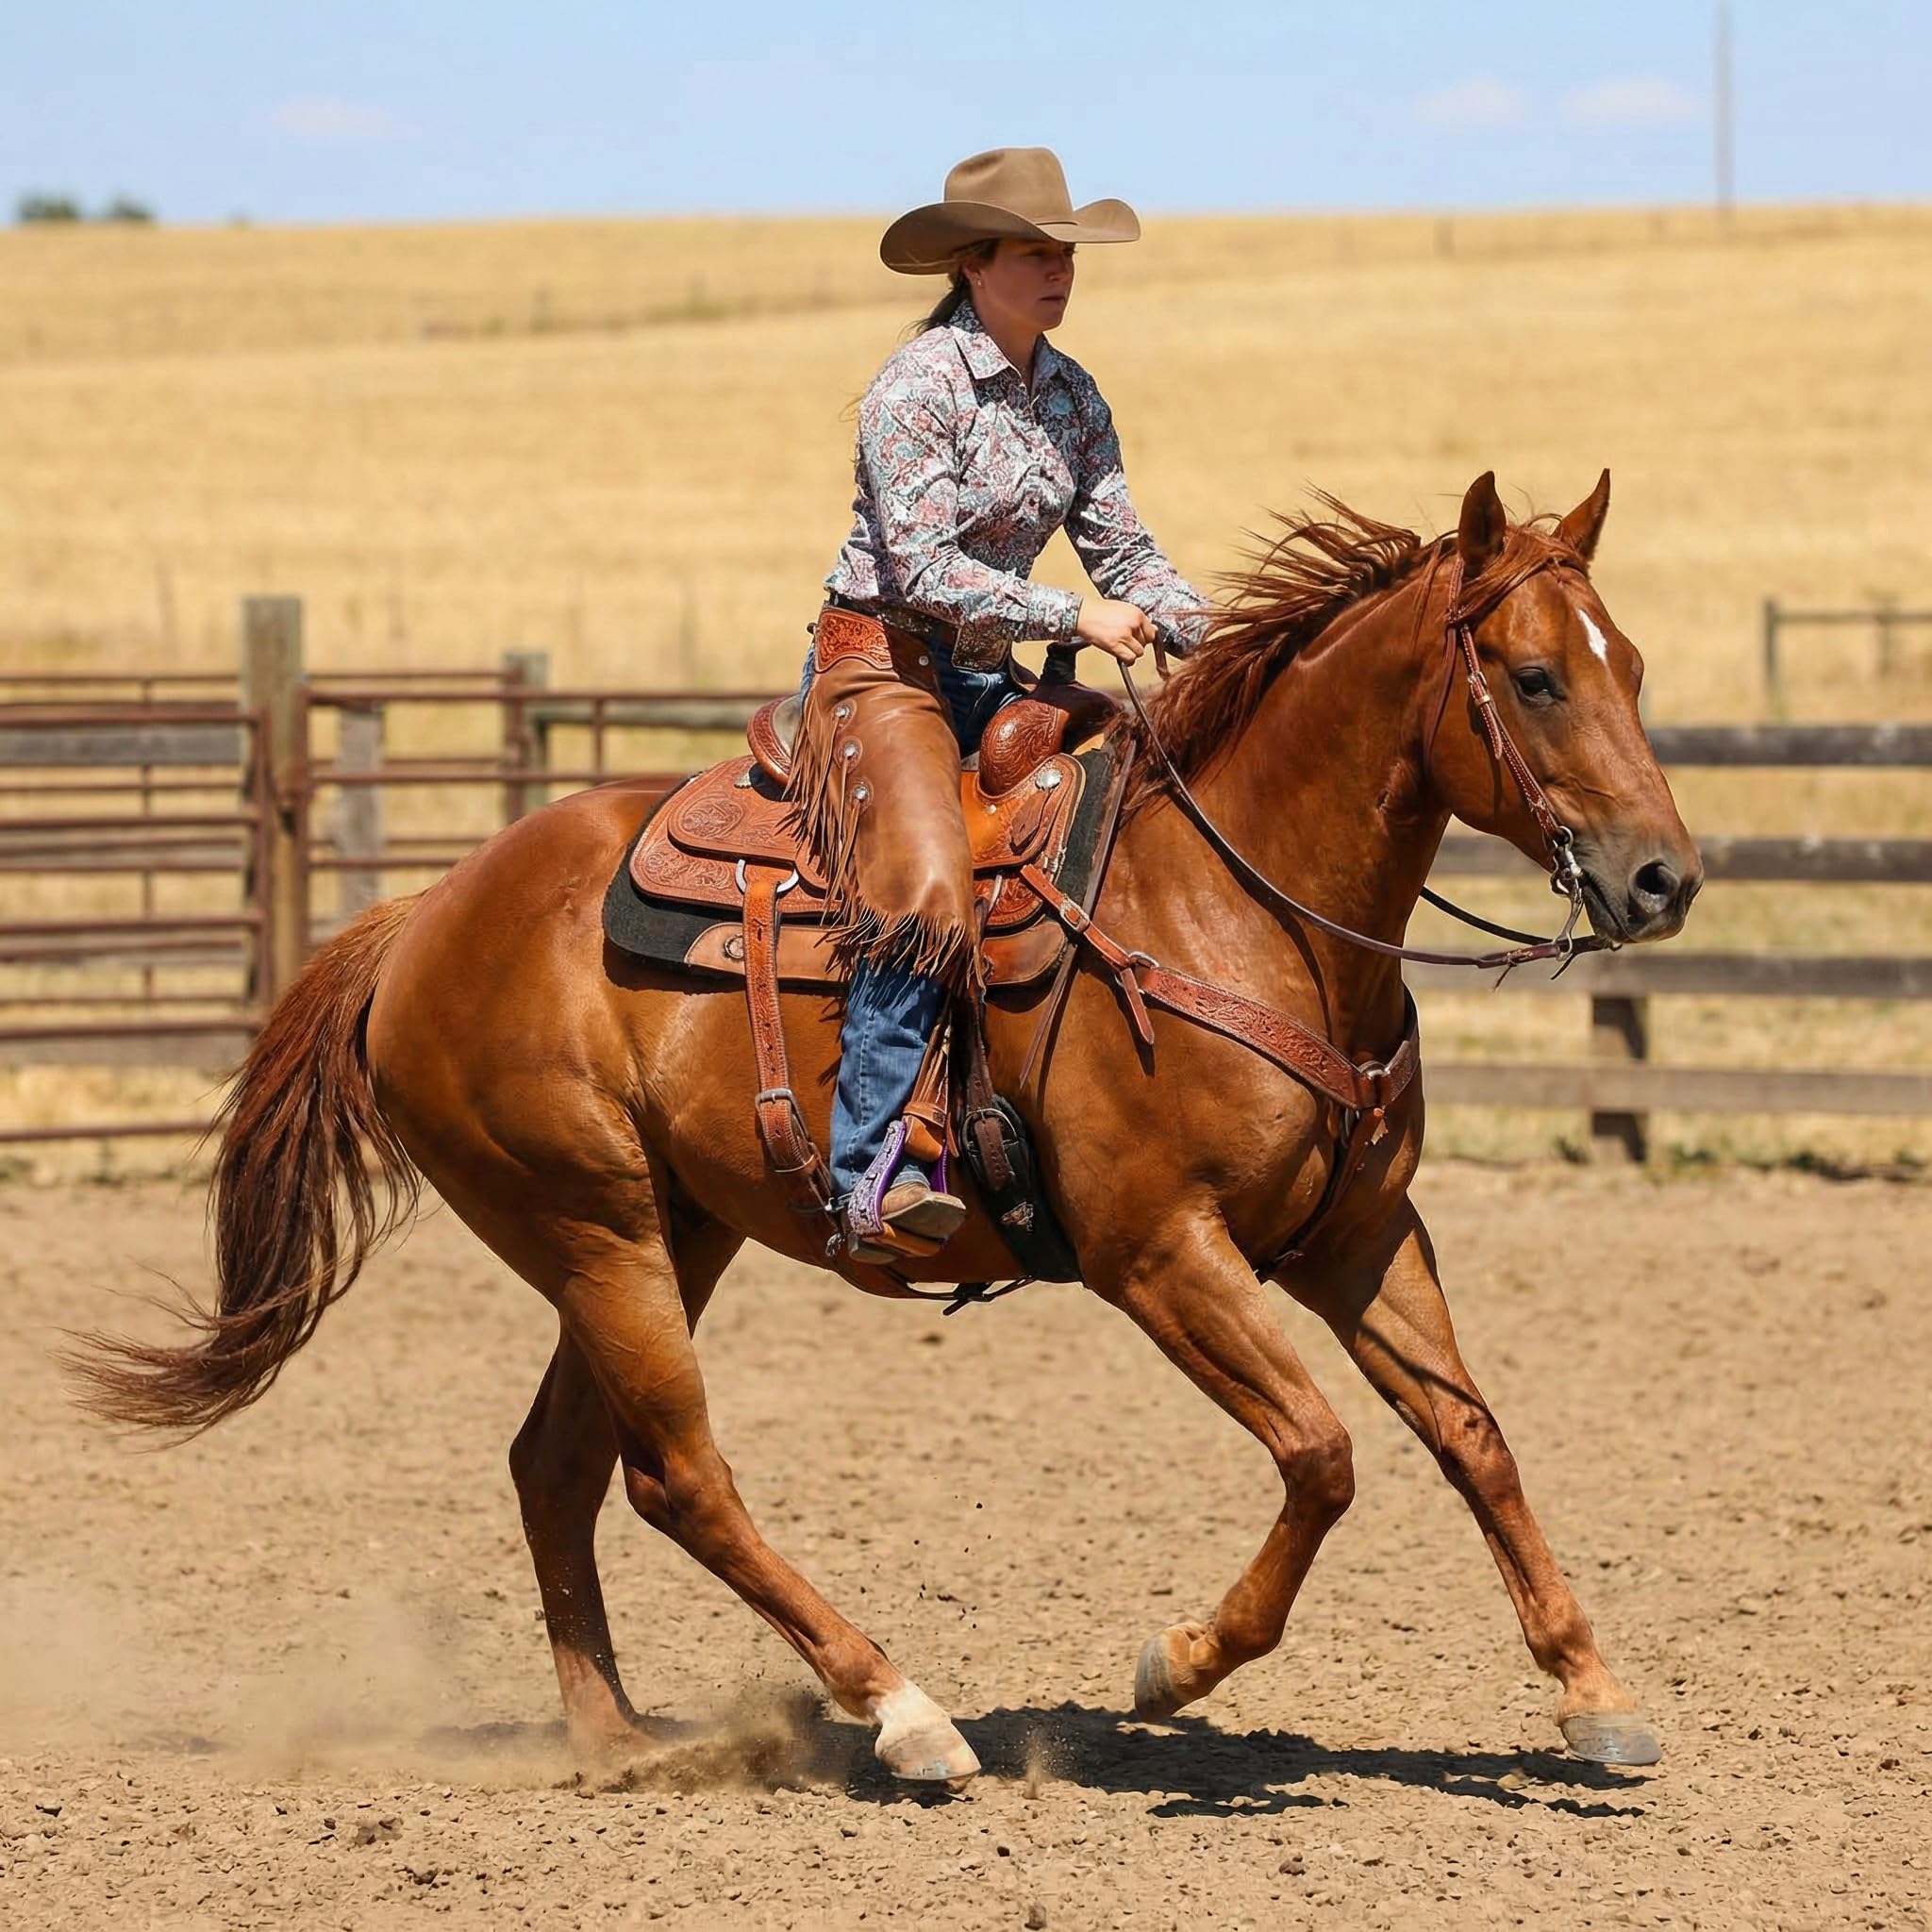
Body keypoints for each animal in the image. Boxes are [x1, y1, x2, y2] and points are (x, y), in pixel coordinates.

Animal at [73, 470, 1701, 1787]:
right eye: (1536, 677)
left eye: (1630, 664)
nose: (1665, 879)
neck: (1241, 909)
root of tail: (422, 918)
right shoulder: (1161, 1253)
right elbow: (1322, 1453)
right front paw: (1176, 1665)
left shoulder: (1359, 1234)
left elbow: (1475, 1438)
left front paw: (1592, 1694)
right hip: (596, 1230)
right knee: (677, 1476)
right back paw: (906, 1714)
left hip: (674, 1230)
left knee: (558, 1466)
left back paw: (619, 1740)